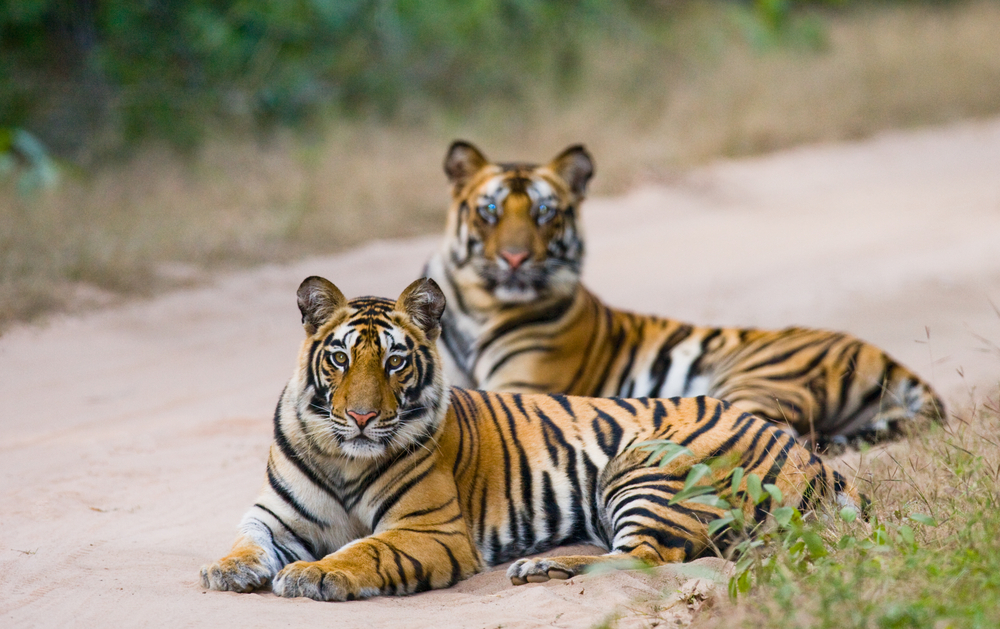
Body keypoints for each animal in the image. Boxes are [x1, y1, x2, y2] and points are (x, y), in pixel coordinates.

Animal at [201, 274, 860, 600]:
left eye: (394, 362)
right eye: (339, 358)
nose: (362, 418)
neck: (344, 456)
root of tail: (811, 457)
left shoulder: (430, 531)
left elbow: (365, 549)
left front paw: (315, 575)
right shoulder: (274, 517)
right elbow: (246, 542)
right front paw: (225, 571)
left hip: (643, 468)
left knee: (651, 558)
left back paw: (540, 569)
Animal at [424, 140, 944, 448]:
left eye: (544, 213)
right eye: (490, 211)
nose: (514, 259)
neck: (477, 306)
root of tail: (879, 352)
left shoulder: (522, 388)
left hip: (756, 381)